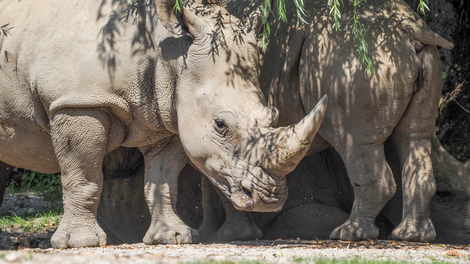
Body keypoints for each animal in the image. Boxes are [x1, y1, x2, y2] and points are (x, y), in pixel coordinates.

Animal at [0, 0, 326, 248]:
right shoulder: (79, 101)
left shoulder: (167, 115)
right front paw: (81, 243)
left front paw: (173, 238)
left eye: (272, 114)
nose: (270, 199)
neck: (170, 49)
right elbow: (83, 177)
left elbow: (162, 181)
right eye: (221, 125)